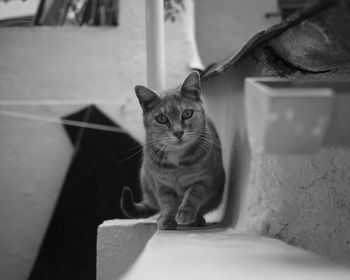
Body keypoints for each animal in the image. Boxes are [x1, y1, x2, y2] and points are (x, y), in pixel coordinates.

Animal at [120, 70, 224, 230]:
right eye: (161, 118)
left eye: (187, 113)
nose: (178, 132)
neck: (177, 161)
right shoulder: (162, 186)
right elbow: (168, 203)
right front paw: (167, 219)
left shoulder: (205, 180)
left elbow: (193, 194)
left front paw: (186, 213)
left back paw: (197, 219)